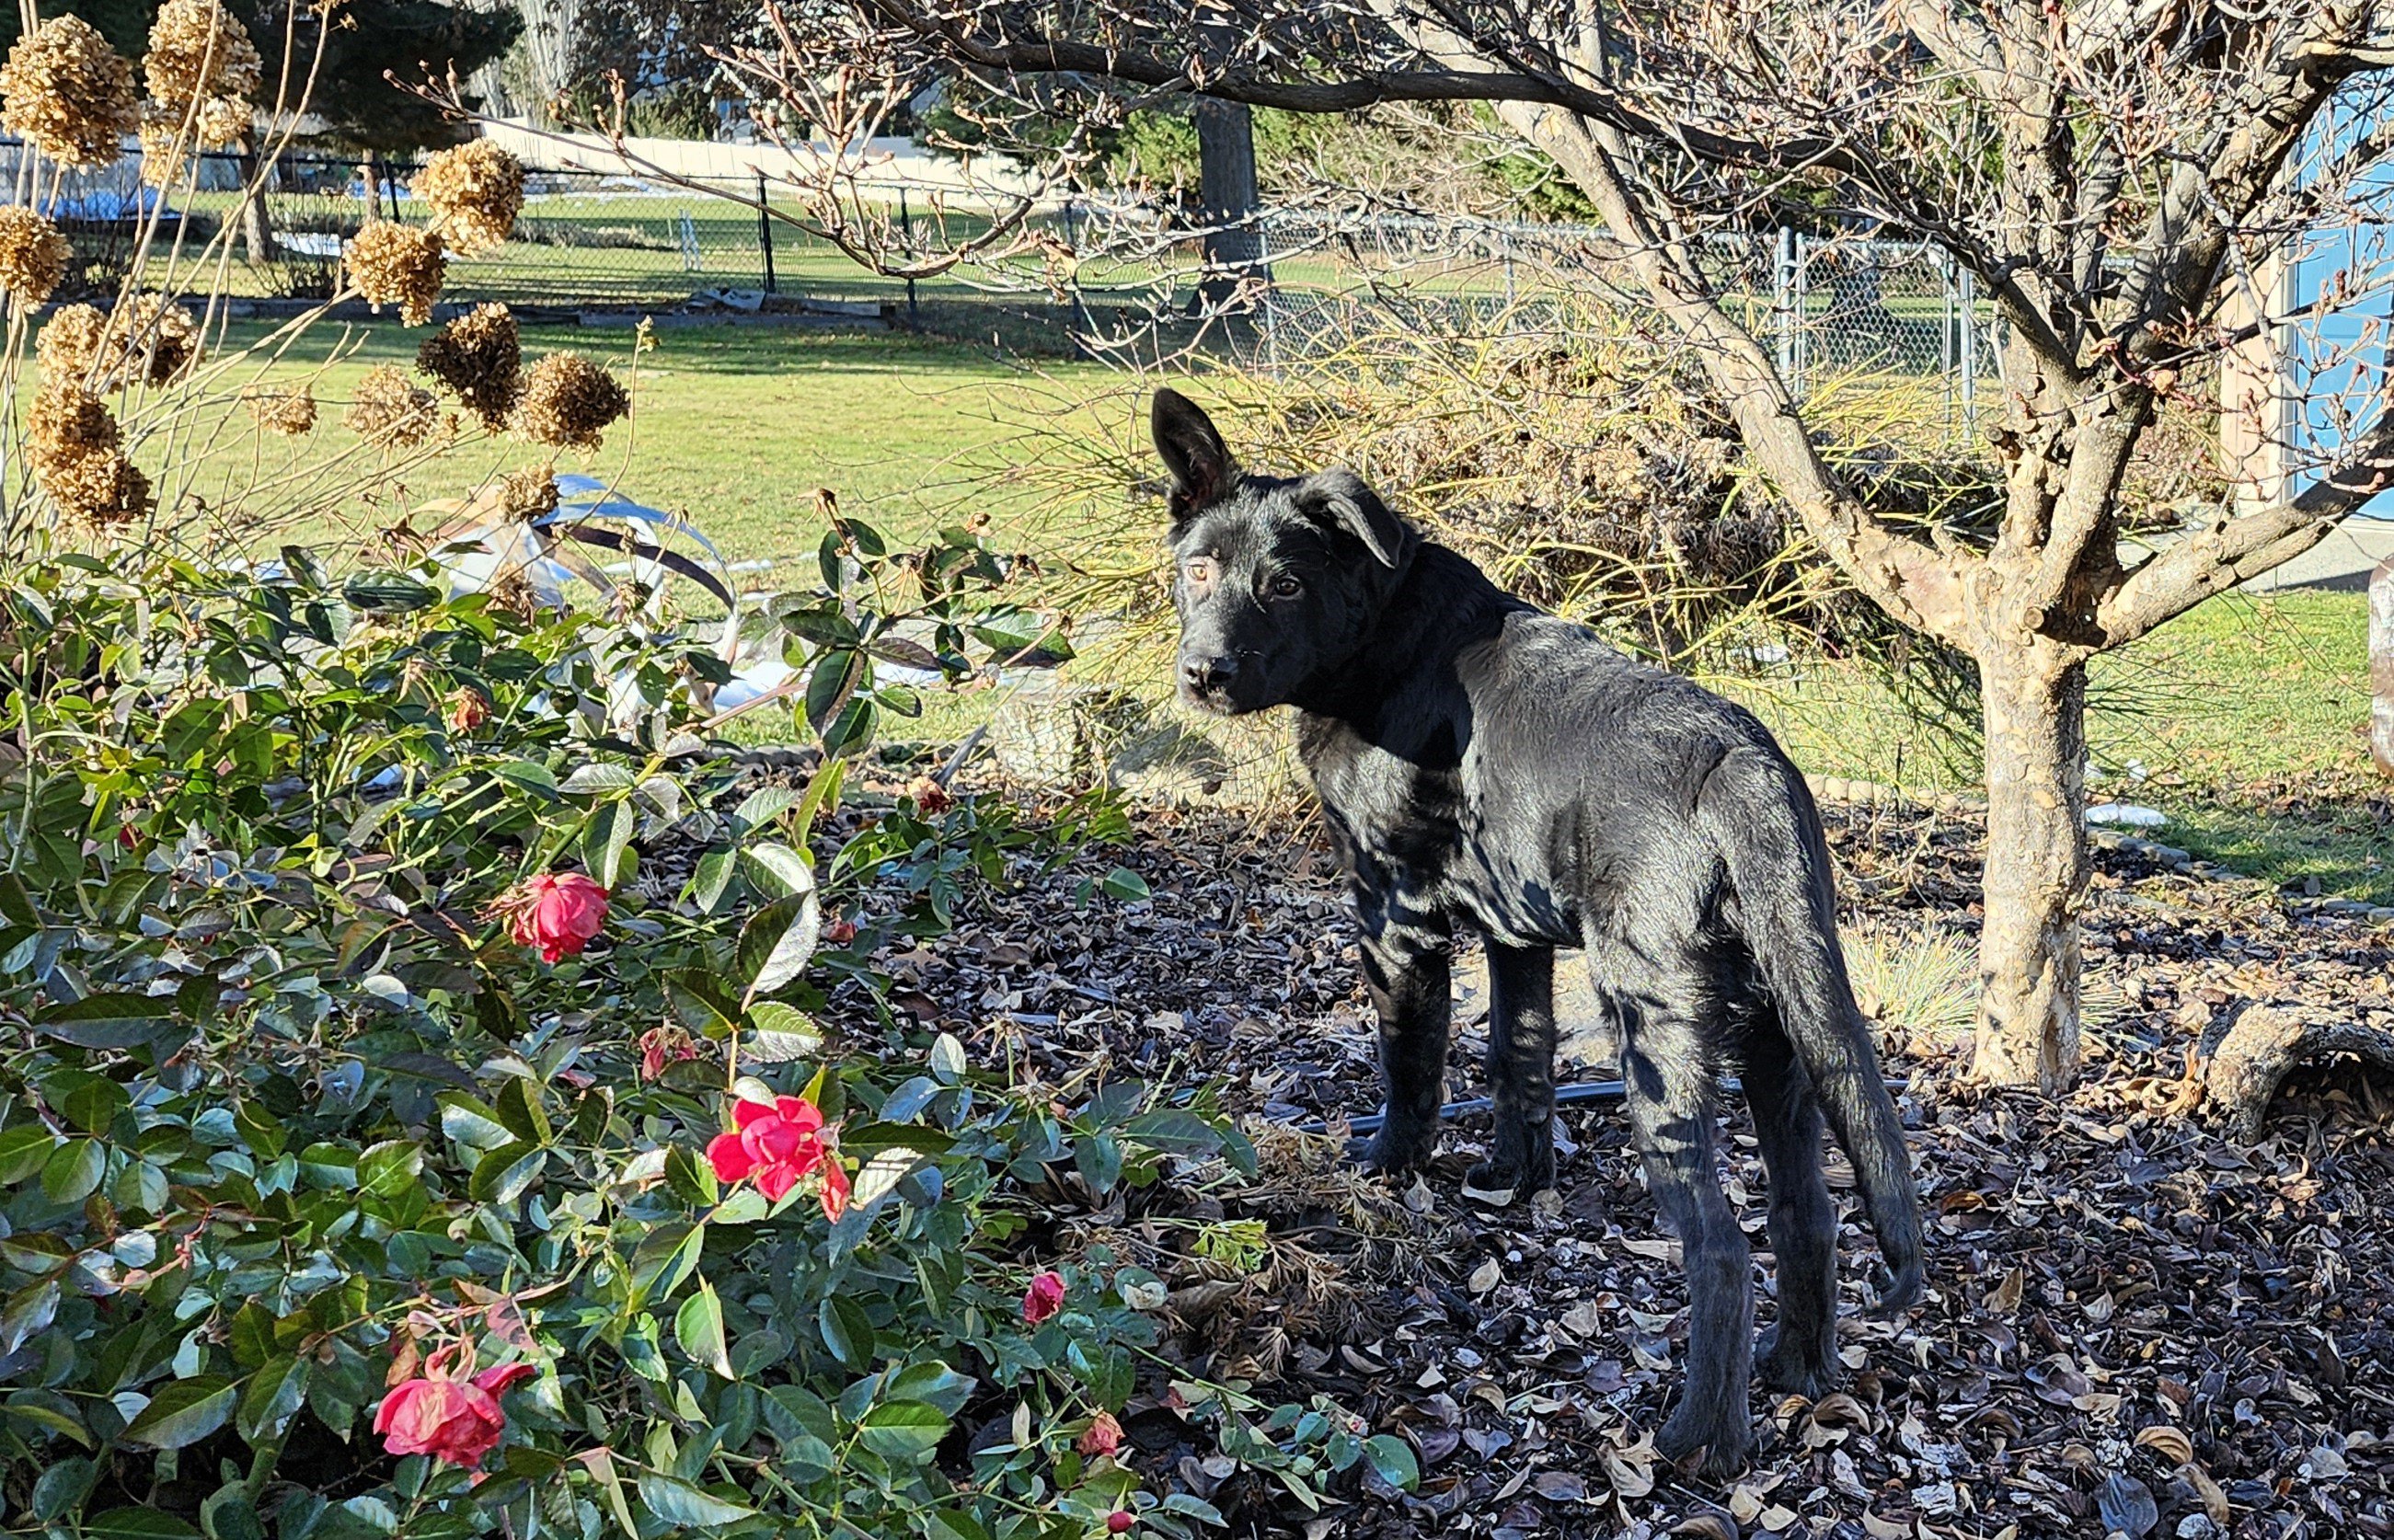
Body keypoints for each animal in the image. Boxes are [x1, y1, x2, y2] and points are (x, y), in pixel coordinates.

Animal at [1148, 385, 1915, 1465]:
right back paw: (1795, 1372)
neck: (1380, 637)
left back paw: (1700, 1440)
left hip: (1655, 1030)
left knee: (1721, 1247)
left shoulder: (1394, 918)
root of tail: (1744, 769)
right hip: (1784, 1030)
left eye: (1286, 585)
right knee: (1805, 1215)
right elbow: (1520, 1059)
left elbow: (1413, 1067)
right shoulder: (1515, 936)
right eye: (1198, 570)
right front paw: (1513, 1179)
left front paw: (1389, 1169)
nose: (1203, 674)